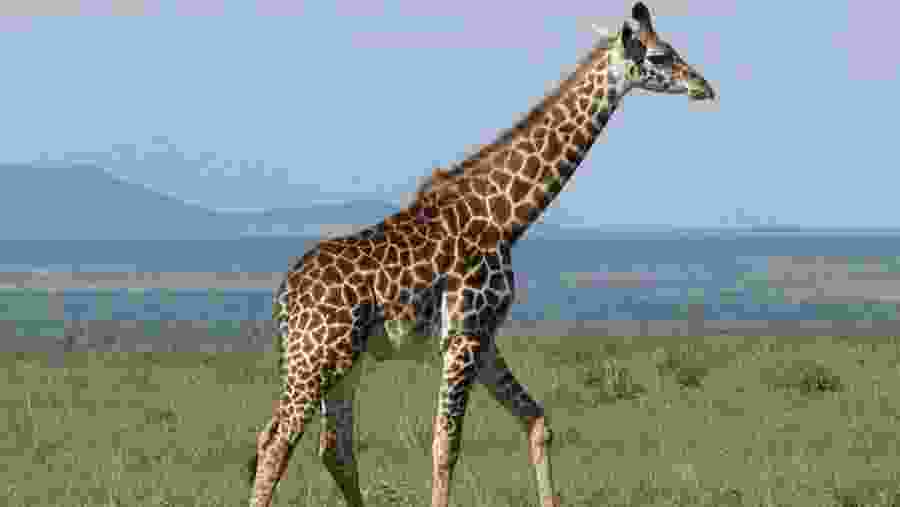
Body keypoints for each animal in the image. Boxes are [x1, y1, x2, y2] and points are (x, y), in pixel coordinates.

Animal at [247, 3, 716, 506]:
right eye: (661, 55)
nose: (704, 86)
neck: (505, 218)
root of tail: (284, 297)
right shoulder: (464, 336)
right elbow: (444, 446)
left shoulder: (485, 337)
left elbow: (537, 421)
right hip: (316, 359)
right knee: (276, 441)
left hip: (340, 363)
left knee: (332, 447)